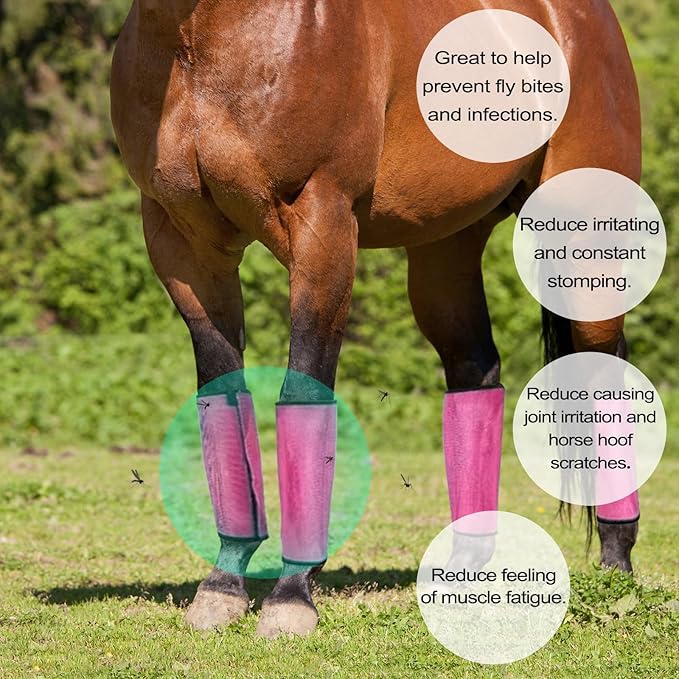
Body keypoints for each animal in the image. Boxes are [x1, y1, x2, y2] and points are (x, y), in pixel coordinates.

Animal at [111, 0, 641, 638]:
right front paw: (223, 585)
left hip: (585, 239)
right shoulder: (183, 244)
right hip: (445, 252)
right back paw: (463, 568)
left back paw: (616, 571)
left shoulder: (323, 224)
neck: (201, 41)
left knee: (605, 379)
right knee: (476, 372)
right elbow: (223, 396)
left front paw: (291, 596)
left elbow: (304, 394)